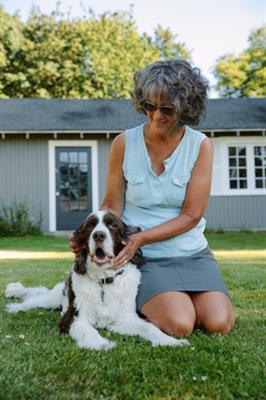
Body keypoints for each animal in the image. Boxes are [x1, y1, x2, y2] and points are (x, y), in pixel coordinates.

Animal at [5, 209, 189, 350]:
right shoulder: (74, 317)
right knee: (32, 300)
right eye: (90, 226)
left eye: (112, 225)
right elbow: (89, 330)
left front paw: (170, 341)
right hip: (52, 299)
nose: (99, 235)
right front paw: (101, 343)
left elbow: (149, 327)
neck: (103, 281)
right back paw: (15, 307)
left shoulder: (124, 318)